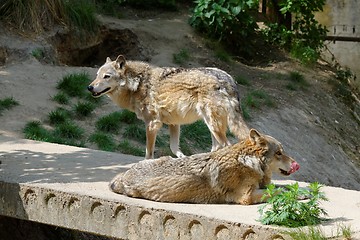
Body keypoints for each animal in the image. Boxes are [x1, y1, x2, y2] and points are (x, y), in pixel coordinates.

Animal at [88, 55, 249, 158]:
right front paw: (183, 160)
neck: (137, 83)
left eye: (106, 76)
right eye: (96, 75)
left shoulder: (152, 124)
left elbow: (148, 154)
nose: (89, 87)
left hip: (213, 125)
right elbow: (174, 148)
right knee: (217, 147)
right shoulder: (174, 123)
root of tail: (229, 79)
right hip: (212, 127)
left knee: (227, 146)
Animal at [109, 129, 298, 204]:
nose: (296, 164)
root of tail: (122, 176)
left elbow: (282, 187)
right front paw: (298, 195)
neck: (248, 162)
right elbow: (279, 192)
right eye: (279, 153)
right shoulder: (247, 196)